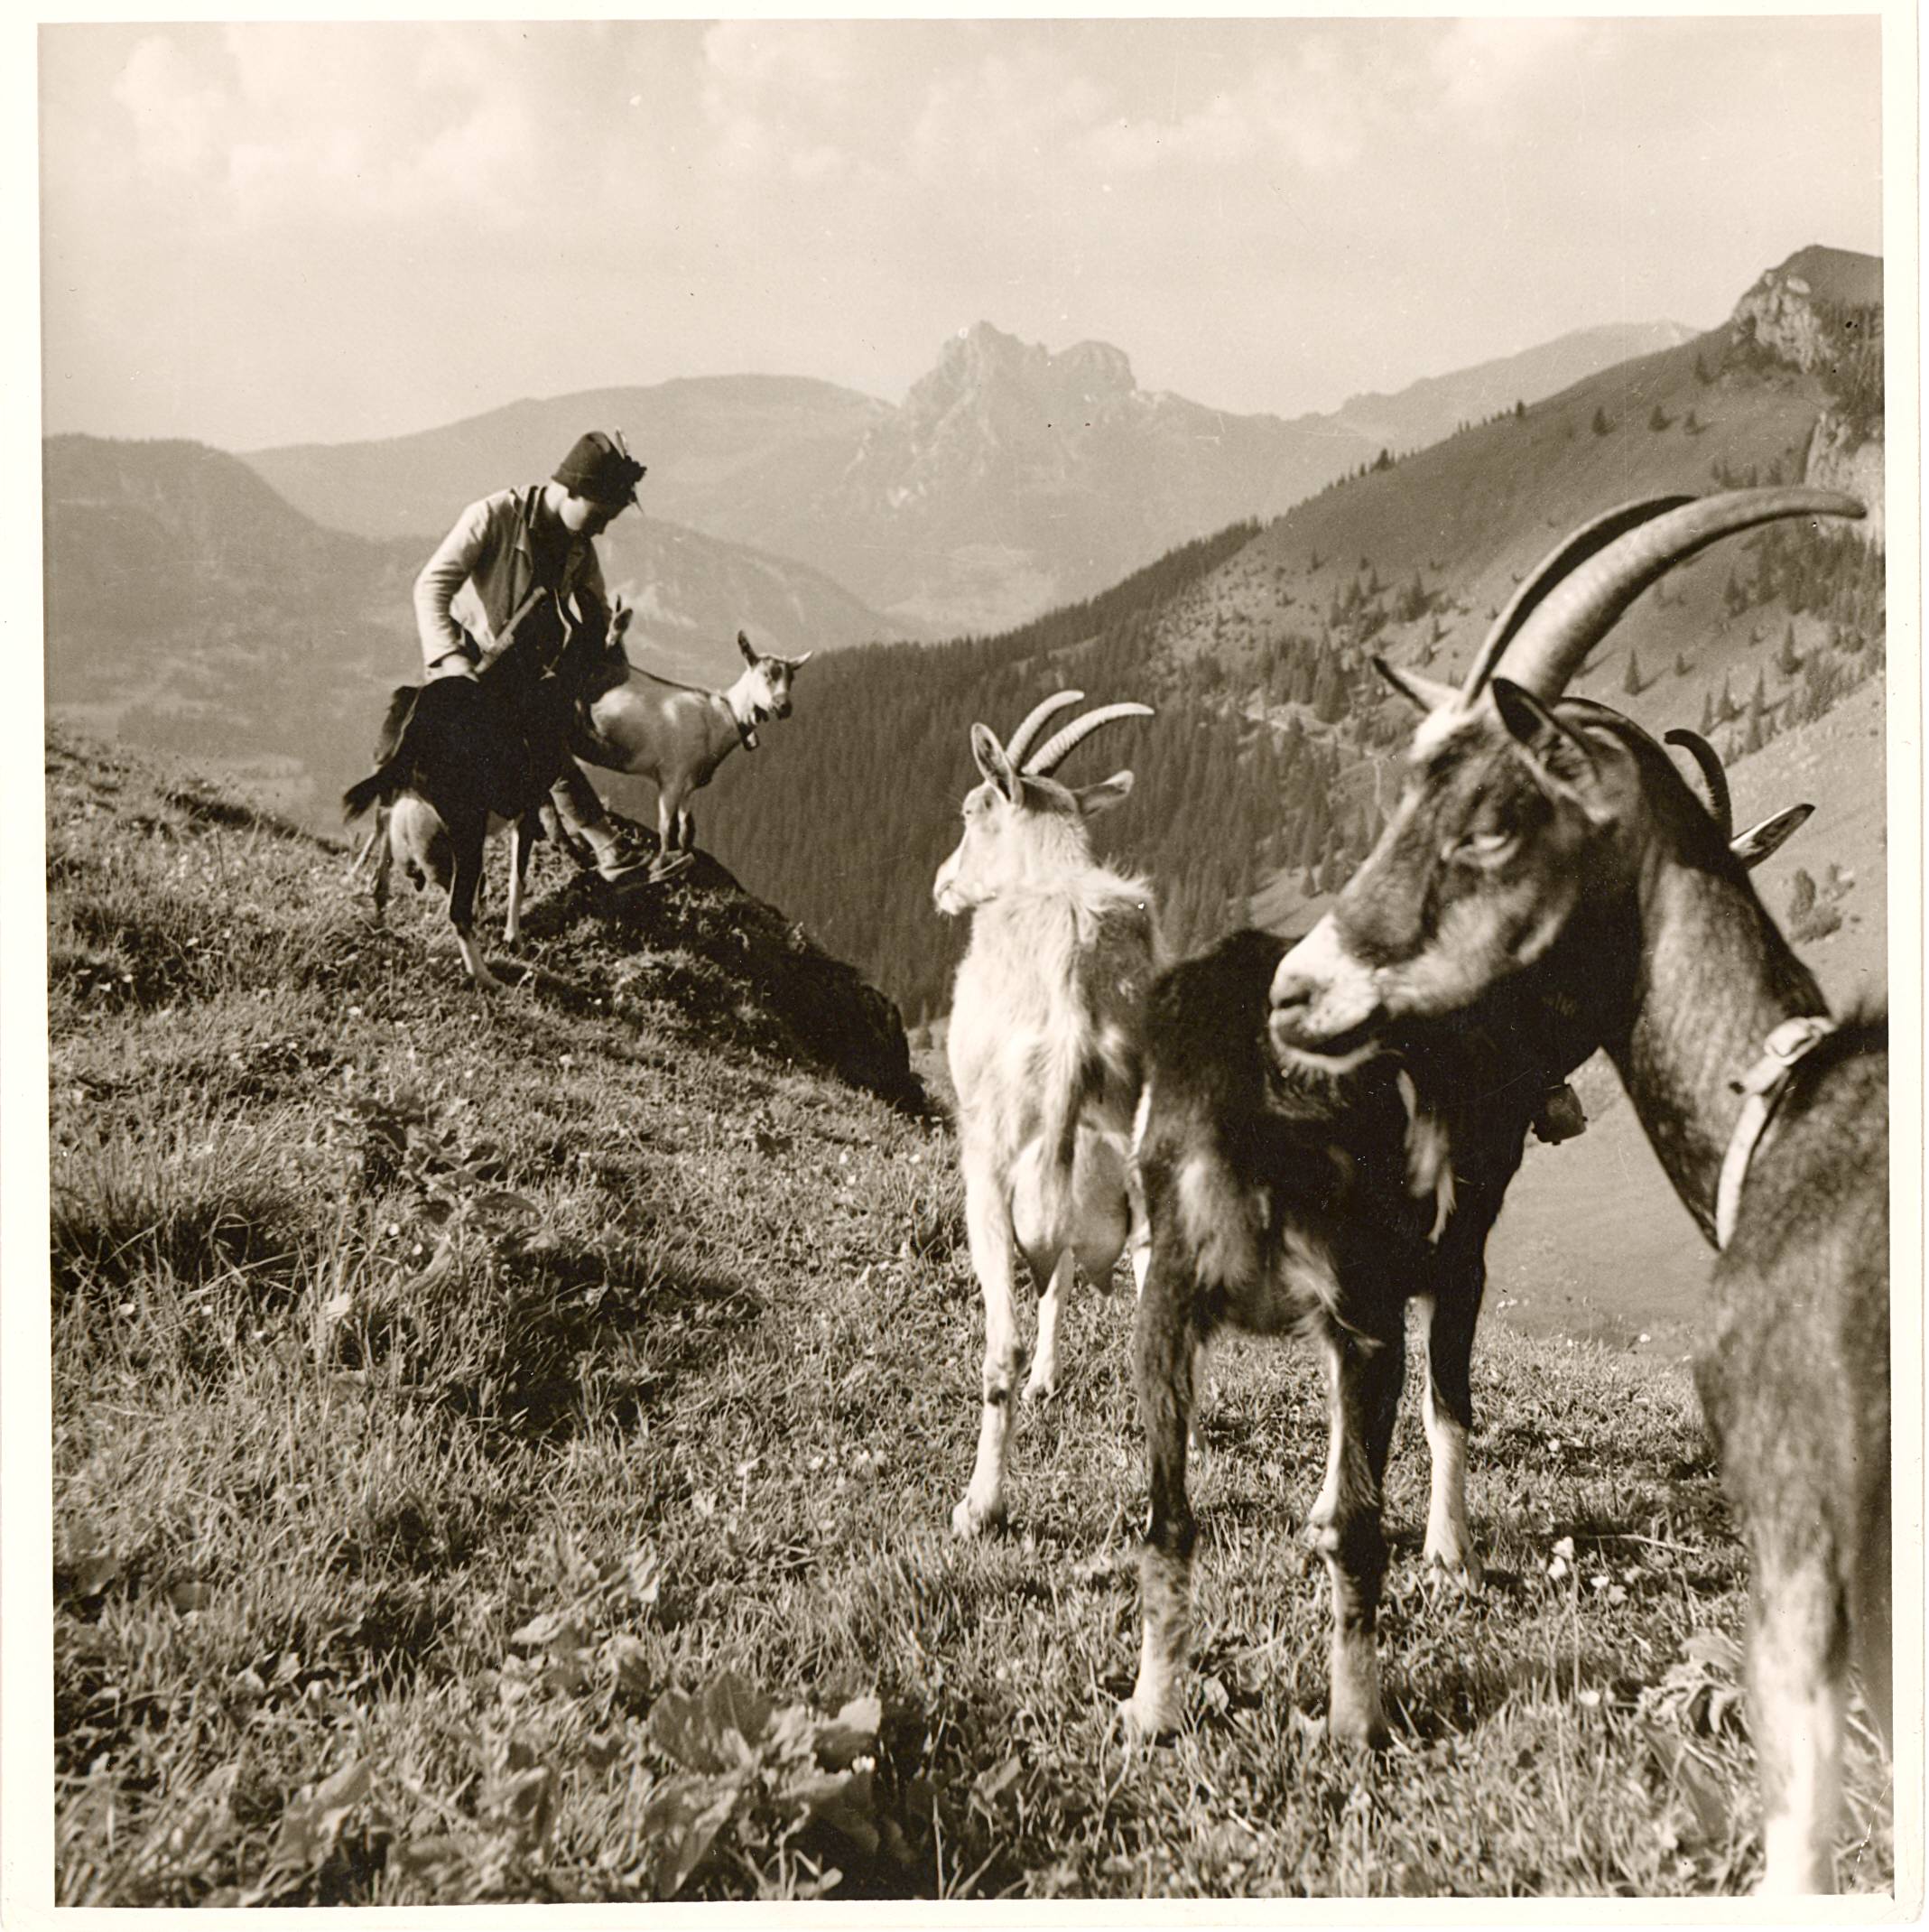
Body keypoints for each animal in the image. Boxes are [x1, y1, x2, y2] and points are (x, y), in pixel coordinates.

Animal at [342, 588, 626, 989]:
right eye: (603, 649)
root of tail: (415, 721)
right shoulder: (528, 805)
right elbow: (518, 875)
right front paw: (513, 937)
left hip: (391, 801)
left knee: (381, 870)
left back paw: (382, 924)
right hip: (466, 828)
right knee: (457, 907)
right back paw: (486, 977)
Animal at [570, 629, 810, 871]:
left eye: (792, 678)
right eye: (766, 674)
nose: (784, 707)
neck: (717, 718)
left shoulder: (689, 785)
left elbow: (686, 829)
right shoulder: (671, 777)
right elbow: (666, 827)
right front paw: (662, 863)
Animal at [934, 691, 1159, 1537]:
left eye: (972, 811)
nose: (944, 885)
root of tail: (1072, 1027)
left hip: (990, 1180)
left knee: (998, 1341)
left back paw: (979, 1505)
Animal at [1123, 728, 1812, 1749]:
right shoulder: (1460, 1252)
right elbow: (1449, 1401)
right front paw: (1453, 1553)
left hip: (1165, 1299)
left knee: (1169, 1516)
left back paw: (1152, 1708)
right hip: (1359, 1296)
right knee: (1357, 1527)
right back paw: (1358, 1720)